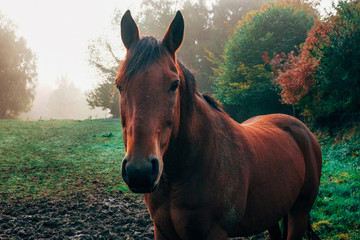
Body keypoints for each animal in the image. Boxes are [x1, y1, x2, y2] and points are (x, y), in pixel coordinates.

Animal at [116, 10, 322, 239]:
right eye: (119, 85)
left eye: (174, 84)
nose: (140, 171)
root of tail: (301, 129)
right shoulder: (161, 230)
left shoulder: (214, 232)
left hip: (299, 213)